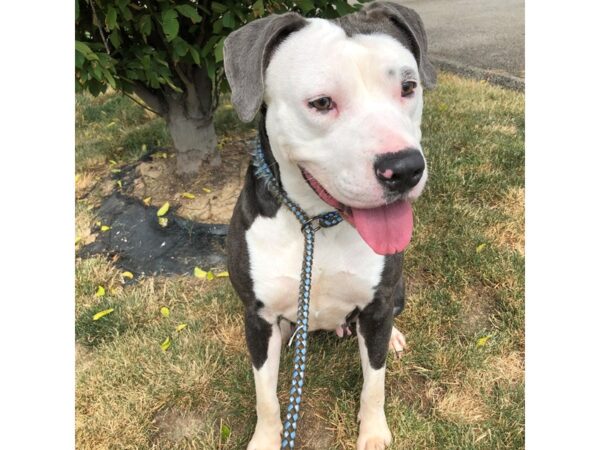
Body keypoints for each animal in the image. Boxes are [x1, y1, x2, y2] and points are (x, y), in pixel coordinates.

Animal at [223, 2, 434, 446]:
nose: (405, 169)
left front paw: (373, 433)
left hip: (396, 291)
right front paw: (266, 438)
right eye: (321, 102)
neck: (316, 224)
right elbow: (265, 397)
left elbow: (375, 383)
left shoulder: (376, 308)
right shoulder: (256, 316)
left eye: (408, 87)